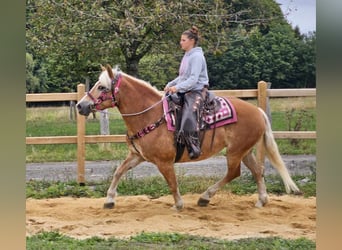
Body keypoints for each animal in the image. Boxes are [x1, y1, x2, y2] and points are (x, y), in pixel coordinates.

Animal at [77, 65, 300, 211]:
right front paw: (109, 200)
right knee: (257, 171)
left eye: (102, 87)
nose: (81, 105)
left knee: (234, 173)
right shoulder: (136, 155)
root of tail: (258, 111)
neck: (150, 115)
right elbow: (118, 172)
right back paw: (261, 200)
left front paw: (178, 204)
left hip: (235, 152)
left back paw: (205, 197)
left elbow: (172, 182)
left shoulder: (164, 162)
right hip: (244, 151)